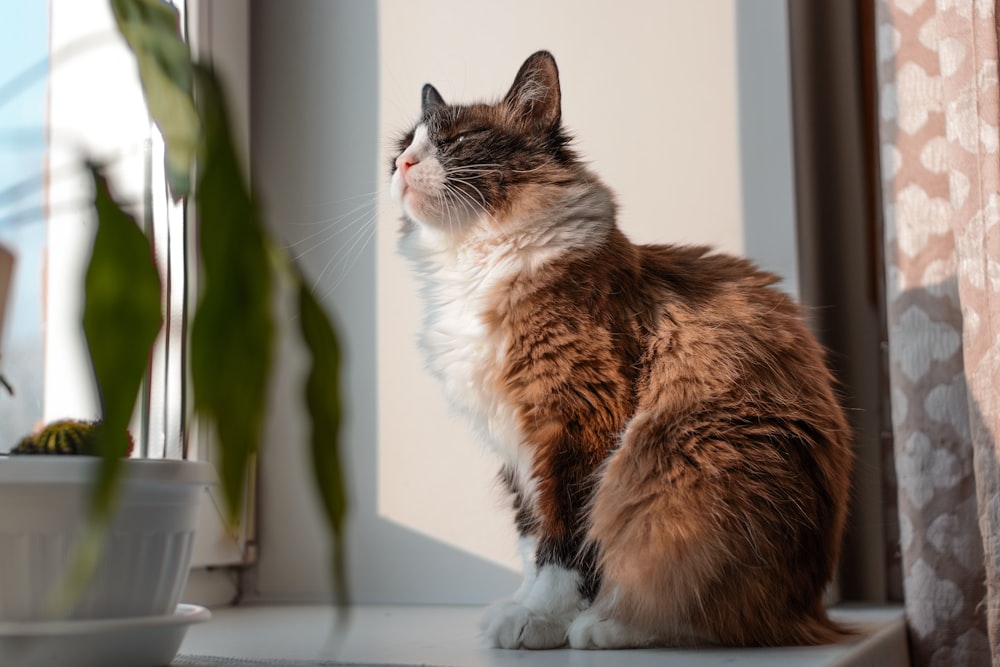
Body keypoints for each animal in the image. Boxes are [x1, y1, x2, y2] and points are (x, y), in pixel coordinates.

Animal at [388, 53, 852, 652]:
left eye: (459, 138)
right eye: (404, 144)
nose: (402, 163)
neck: (473, 265)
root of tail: (814, 611)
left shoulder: (578, 423)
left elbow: (567, 544)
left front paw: (541, 620)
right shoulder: (514, 446)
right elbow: (530, 540)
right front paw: (522, 607)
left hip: (682, 463)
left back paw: (608, 626)